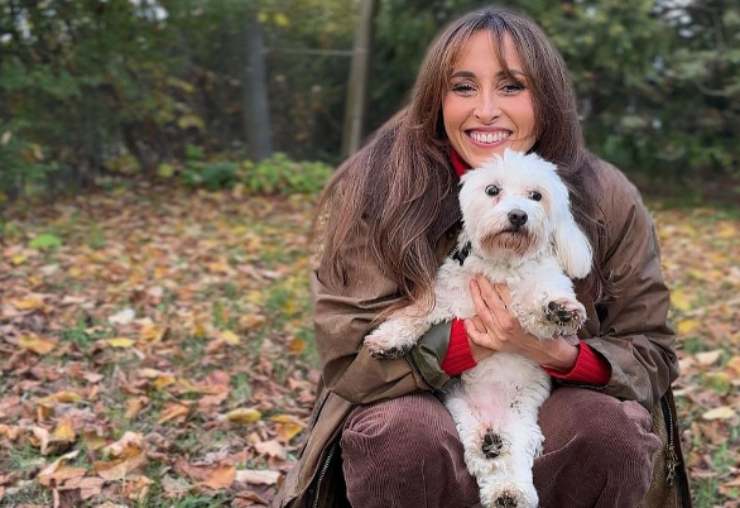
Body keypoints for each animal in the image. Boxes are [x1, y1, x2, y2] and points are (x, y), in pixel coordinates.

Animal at [362, 150, 592, 508]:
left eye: (536, 196)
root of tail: (492, 418)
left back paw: (511, 490)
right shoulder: (446, 297)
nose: (517, 215)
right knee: (483, 458)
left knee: (513, 461)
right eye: (492, 190)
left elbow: (538, 301)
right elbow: (417, 313)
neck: (503, 265)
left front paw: (558, 310)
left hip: (522, 425)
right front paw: (388, 339)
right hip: (464, 417)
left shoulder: (538, 292)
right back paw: (493, 458)